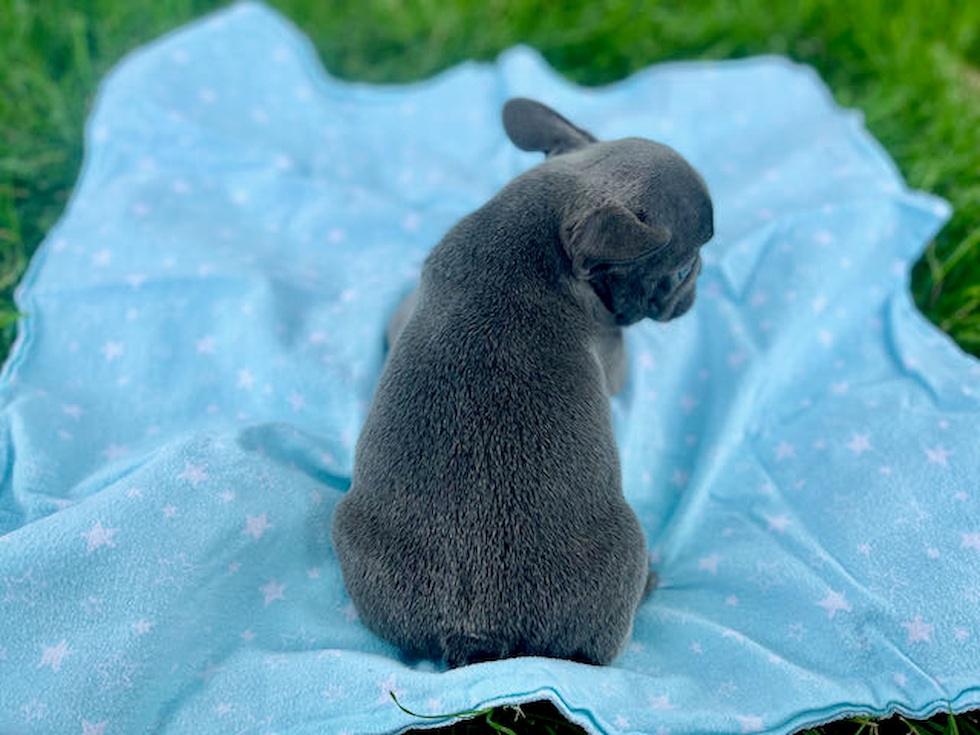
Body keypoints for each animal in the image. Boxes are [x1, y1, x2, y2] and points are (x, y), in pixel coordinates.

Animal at [332, 98, 712, 668]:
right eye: (684, 271)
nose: (698, 286)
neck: (544, 218)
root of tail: (479, 634)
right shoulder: (611, 348)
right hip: (626, 553)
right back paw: (649, 581)